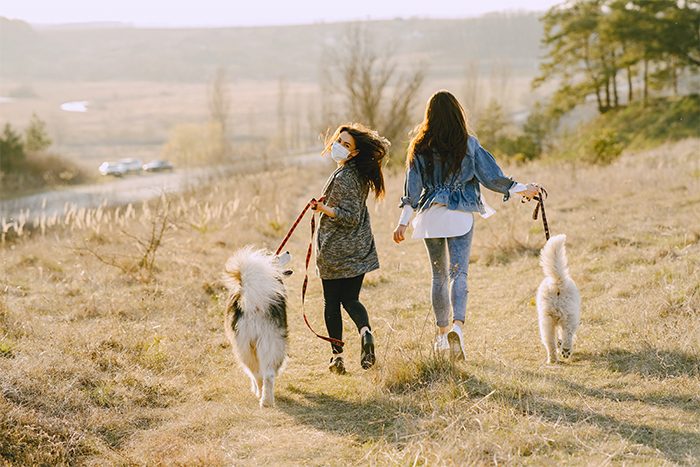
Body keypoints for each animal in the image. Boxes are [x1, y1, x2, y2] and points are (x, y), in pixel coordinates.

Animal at [223, 249, 292, 406]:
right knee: (265, 374)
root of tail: (253, 305)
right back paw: (265, 399)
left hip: (248, 346)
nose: (287, 251)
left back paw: (263, 398)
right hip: (267, 343)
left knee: (259, 374)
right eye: (276, 256)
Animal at [536, 236, 580, 364]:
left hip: (546, 321)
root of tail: (557, 282)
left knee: (550, 342)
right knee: (568, 333)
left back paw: (553, 360)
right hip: (570, 316)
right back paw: (566, 350)